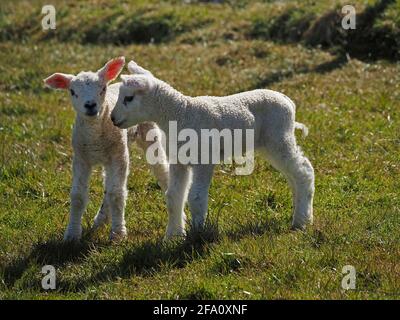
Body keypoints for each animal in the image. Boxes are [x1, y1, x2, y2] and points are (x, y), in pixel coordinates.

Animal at [43, 57, 169, 240]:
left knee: (160, 170)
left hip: (146, 135)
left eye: (102, 89)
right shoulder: (81, 158)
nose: (90, 105)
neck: (95, 135)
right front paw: (72, 234)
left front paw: (118, 234)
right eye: (72, 92)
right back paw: (100, 220)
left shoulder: (119, 156)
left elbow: (117, 194)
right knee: (108, 185)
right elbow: (78, 196)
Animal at [111, 60, 314, 240]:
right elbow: (173, 196)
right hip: (270, 144)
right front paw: (172, 236)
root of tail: (288, 100)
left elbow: (196, 197)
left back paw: (301, 221)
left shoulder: (204, 159)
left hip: (279, 137)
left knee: (304, 171)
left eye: (128, 98)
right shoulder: (178, 161)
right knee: (292, 176)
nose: (113, 118)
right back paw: (300, 212)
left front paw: (197, 234)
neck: (181, 113)